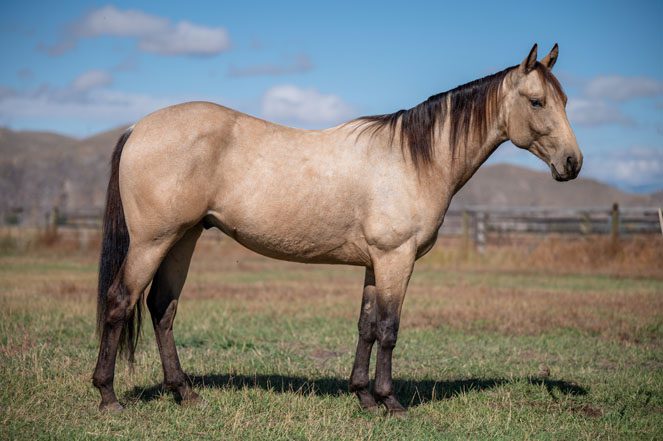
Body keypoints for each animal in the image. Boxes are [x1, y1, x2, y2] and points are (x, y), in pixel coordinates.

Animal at [93, 43, 582, 414]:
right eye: (537, 102)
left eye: (564, 102)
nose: (572, 163)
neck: (412, 160)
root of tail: (138, 127)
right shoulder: (396, 259)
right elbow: (389, 328)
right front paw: (391, 402)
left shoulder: (375, 263)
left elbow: (366, 326)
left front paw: (363, 396)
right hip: (153, 241)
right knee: (120, 302)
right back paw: (109, 397)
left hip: (184, 238)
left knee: (162, 308)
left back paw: (185, 392)